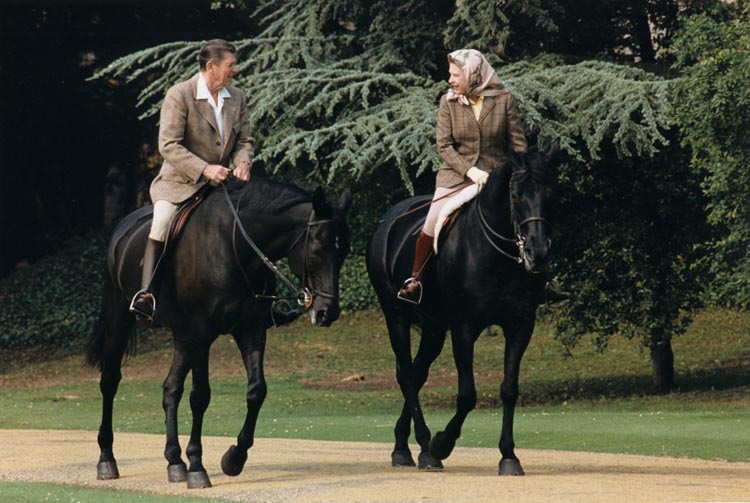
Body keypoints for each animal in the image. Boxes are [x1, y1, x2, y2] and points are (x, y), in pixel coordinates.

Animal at [86, 177, 352, 488]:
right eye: (318, 248)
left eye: (344, 251)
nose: (327, 312)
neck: (236, 246)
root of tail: (122, 228)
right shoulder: (202, 333)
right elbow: (200, 396)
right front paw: (197, 466)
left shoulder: (250, 330)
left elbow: (256, 390)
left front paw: (234, 458)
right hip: (121, 323)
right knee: (110, 382)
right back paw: (107, 459)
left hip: (182, 337)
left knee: (170, 389)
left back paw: (174, 461)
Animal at [368, 147, 560, 476]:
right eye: (516, 195)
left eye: (550, 193)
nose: (537, 253)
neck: (497, 255)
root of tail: (389, 219)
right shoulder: (464, 328)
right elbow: (467, 394)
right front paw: (441, 444)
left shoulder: (521, 325)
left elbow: (509, 389)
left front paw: (509, 456)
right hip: (396, 316)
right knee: (406, 375)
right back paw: (424, 448)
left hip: (433, 328)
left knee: (417, 373)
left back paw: (404, 446)